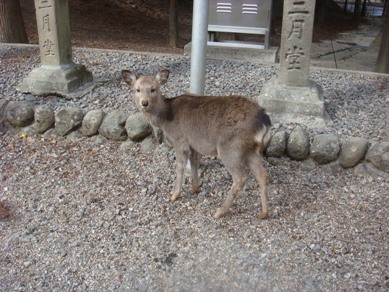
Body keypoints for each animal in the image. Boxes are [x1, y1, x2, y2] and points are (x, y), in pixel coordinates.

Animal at [123, 68, 272, 219]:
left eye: (153, 89)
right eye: (137, 89)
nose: (144, 103)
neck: (166, 119)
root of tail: (264, 122)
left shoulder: (180, 139)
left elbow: (180, 165)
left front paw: (175, 195)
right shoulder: (194, 143)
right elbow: (194, 162)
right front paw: (195, 188)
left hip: (230, 147)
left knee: (241, 177)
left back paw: (219, 211)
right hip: (251, 149)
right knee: (263, 175)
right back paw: (263, 213)